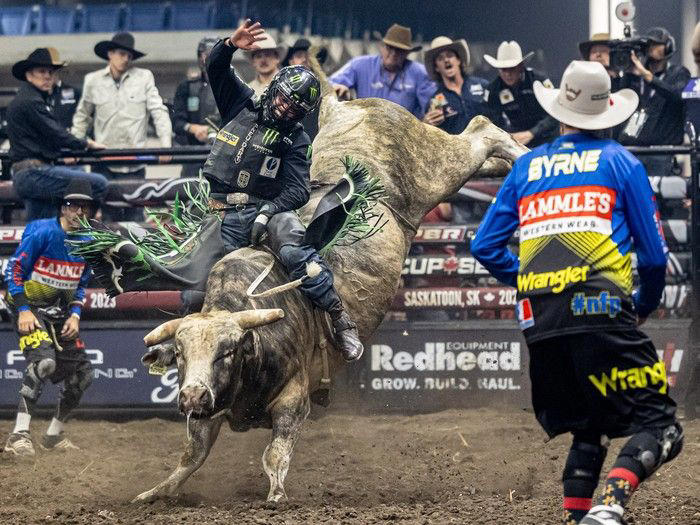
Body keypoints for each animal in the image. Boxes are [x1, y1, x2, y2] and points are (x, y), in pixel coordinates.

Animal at [130, 67, 524, 502]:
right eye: (181, 355)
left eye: (227, 352)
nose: (191, 396)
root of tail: (347, 107)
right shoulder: (209, 409)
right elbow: (191, 455)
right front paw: (152, 493)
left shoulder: (294, 398)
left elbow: (275, 452)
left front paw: (276, 495)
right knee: (484, 153)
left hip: (437, 168)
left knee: (481, 130)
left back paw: (523, 154)